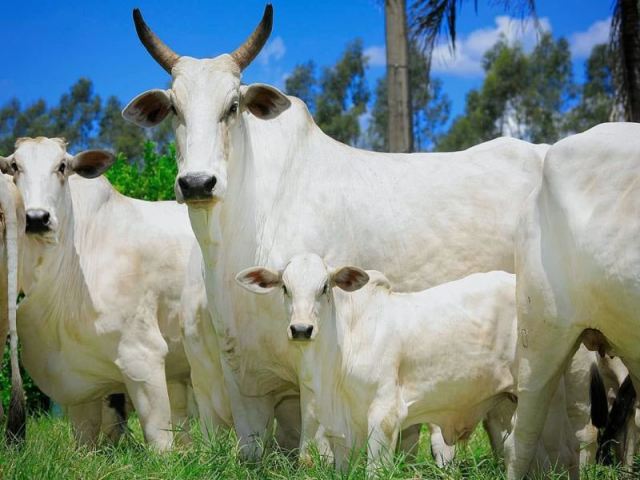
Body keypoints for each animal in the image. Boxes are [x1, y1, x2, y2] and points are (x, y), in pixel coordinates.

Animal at [0, 136, 228, 450]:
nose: (36, 218)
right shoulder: (81, 382)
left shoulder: (143, 355)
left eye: (62, 166)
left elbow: (159, 440)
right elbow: (86, 438)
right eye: (14, 167)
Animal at [235, 255, 576, 472]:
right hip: (506, 401)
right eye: (285, 288)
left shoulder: (384, 417)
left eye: (324, 287)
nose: (301, 329)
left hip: (543, 393)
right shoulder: (341, 432)